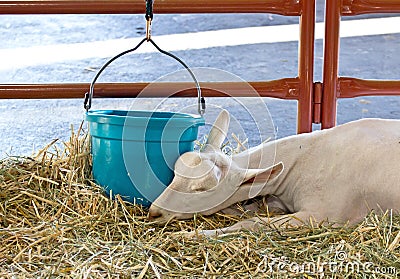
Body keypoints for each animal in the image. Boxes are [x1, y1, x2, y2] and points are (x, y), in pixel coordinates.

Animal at [148, 110, 400, 236]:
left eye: (202, 188)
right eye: (176, 171)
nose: (154, 213)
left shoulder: (324, 215)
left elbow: (252, 223)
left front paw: (189, 235)